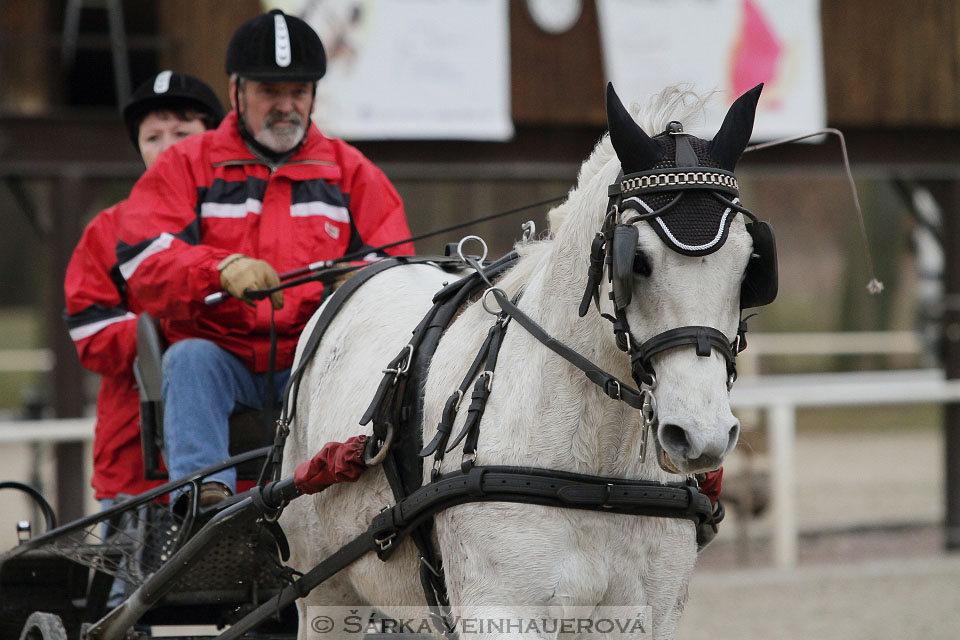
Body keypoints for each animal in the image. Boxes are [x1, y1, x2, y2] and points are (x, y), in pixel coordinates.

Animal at [278, 85, 764, 640]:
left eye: (749, 266)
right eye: (636, 261)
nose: (702, 434)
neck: (595, 472)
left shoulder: (651, 614)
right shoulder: (499, 610)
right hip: (326, 592)